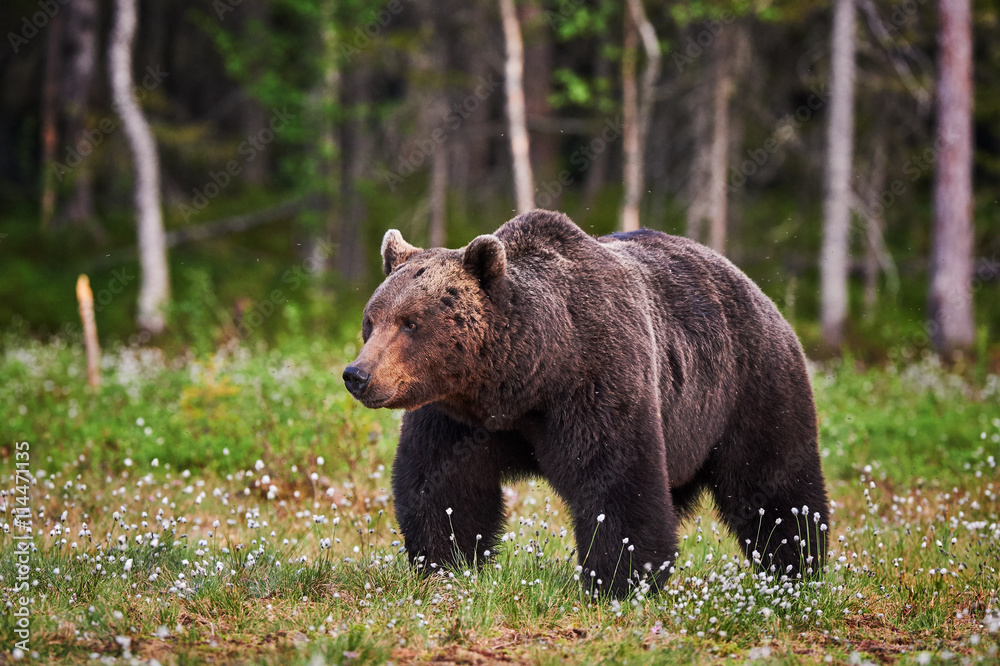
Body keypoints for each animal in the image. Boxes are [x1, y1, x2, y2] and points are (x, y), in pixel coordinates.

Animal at [344, 209, 828, 596]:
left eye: (411, 322)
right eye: (372, 320)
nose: (357, 375)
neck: (527, 378)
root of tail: (760, 292)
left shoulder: (596, 381)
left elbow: (616, 480)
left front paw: (618, 579)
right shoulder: (457, 414)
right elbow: (442, 483)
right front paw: (445, 562)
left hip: (750, 386)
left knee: (775, 483)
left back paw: (798, 566)